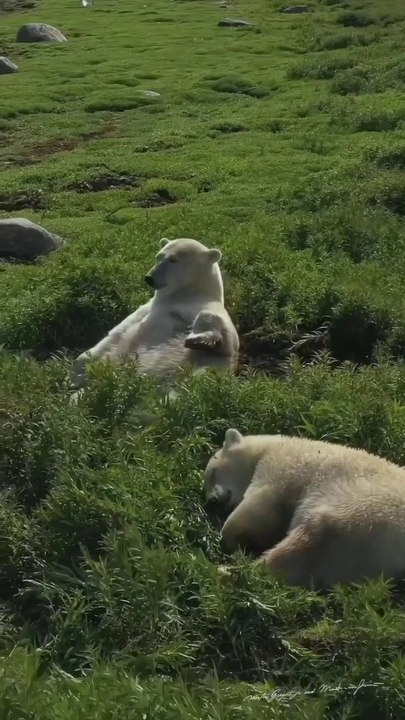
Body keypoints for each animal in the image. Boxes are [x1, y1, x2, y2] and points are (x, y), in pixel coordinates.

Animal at [71, 237, 239, 392]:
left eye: (173, 260)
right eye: (158, 256)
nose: (149, 278)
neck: (182, 295)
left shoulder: (207, 309)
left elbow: (223, 333)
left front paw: (196, 339)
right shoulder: (146, 309)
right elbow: (115, 334)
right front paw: (78, 372)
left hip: (200, 367)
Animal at [203, 427, 405, 591]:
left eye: (212, 473)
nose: (211, 501)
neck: (272, 445)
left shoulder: (281, 465)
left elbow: (260, 503)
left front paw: (232, 539)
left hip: (363, 516)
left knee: (303, 546)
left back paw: (227, 571)